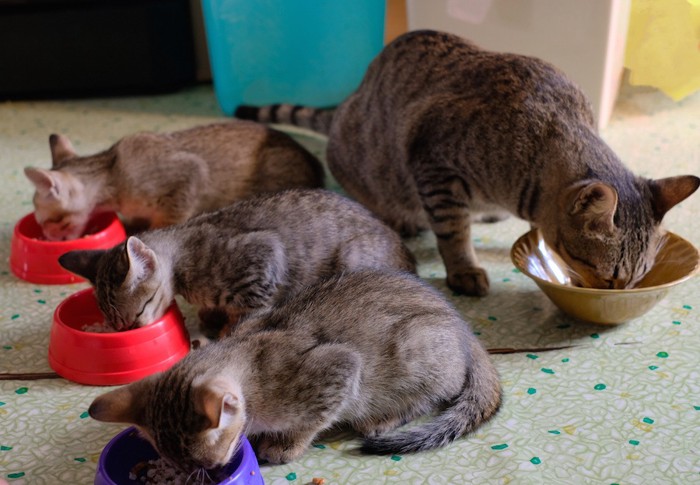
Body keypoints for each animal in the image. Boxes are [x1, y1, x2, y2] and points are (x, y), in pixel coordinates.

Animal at [23, 119, 324, 240]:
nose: (48, 237)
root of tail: (314, 161)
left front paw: (151, 233)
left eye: (48, 221)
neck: (112, 173)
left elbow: (169, 219)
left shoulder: (191, 172)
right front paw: (131, 226)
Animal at [58, 190, 416, 336]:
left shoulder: (264, 259)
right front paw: (210, 316)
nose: (127, 331)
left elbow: (247, 313)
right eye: (116, 324)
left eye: (137, 315)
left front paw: (226, 330)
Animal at [89, 266, 504, 466]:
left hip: (416, 355)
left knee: (429, 397)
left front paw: (286, 445)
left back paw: (382, 419)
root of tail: (465, 330)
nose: (217, 470)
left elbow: (313, 419)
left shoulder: (339, 368)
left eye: (218, 457)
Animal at [237, 31, 700, 294]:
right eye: (608, 275)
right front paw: (463, 270)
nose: (620, 292)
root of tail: (346, 103)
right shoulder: (435, 167)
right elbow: (453, 233)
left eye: (638, 277)